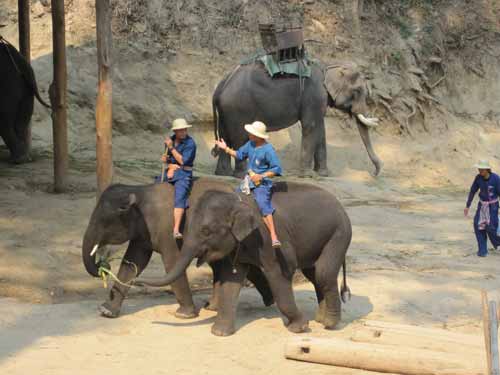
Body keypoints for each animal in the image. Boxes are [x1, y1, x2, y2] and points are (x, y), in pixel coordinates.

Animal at [83, 179, 276, 320]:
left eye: (103, 222)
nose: (103, 265)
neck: (139, 191)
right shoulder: (143, 234)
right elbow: (133, 262)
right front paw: (106, 312)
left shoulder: (168, 230)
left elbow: (171, 262)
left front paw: (184, 315)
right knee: (221, 265)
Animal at [133, 182, 352, 338]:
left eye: (206, 231)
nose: (136, 281)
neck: (236, 200)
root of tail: (341, 205)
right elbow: (231, 280)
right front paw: (220, 333)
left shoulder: (271, 240)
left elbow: (280, 275)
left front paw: (298, 327)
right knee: (314, 274)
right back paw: (320, 319)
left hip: (339, 233)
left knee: (323, 273)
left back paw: (329, 324)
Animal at [209, 61, 380, 178]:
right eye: (358, 91)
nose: (374, 174)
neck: (328, 66)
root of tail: (221, 85)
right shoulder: (314, 95)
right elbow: (311, 126)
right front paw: (308, 175)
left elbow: (320, 130)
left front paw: (324, 174)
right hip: (237, 107)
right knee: (239, 137)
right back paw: (241, 175)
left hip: (226, 110)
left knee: (225, 136)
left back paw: (222, 173)